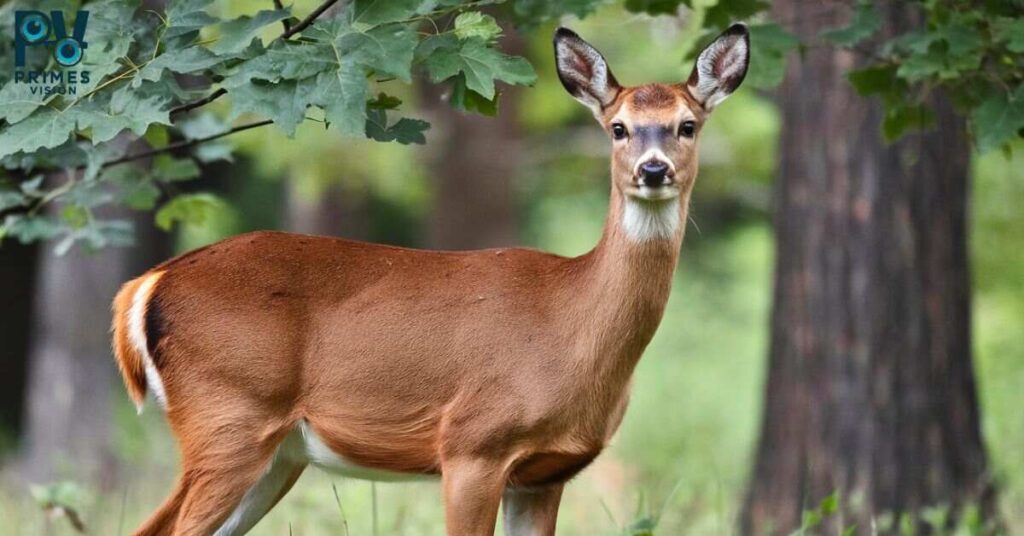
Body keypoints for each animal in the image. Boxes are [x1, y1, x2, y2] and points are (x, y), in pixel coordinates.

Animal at [114, 24, 753, 536]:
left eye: (687, 125)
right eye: (618, 128)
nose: (653, 169)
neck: (571, 326)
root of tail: (145, 285)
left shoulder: (546, 473)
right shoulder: (472, 443)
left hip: (275, 453)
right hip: (228, 415)